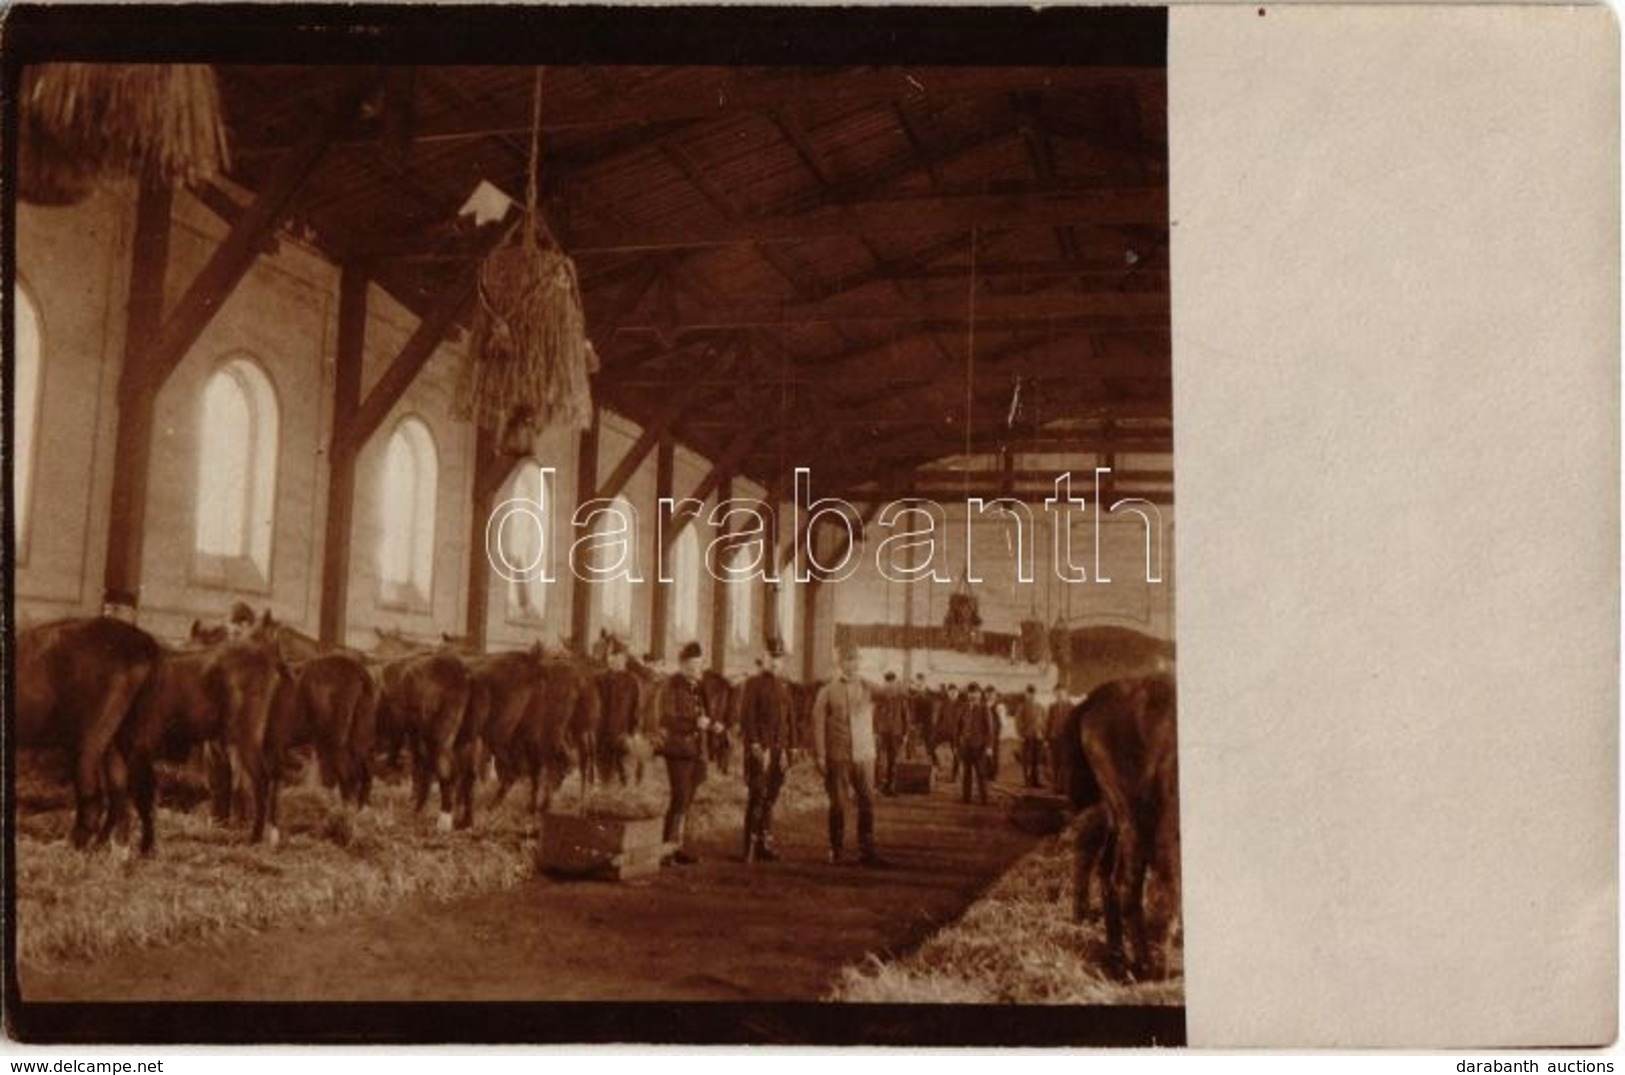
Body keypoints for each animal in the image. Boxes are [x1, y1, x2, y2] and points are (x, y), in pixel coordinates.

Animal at [16, 620, 164, 857]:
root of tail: (143, 643)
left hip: (90, 739)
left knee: (94, 796)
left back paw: (75, 848)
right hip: (124, 736)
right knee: (129, 787)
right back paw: (134, 849)